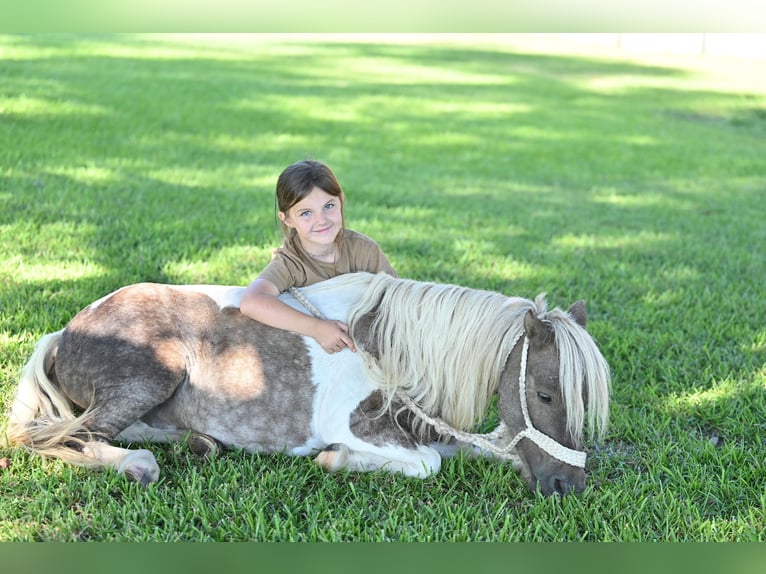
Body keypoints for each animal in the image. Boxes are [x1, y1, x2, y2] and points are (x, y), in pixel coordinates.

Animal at [3, 272, 611, 496]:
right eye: (546, 394)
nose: (568, 487)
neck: (386, 345)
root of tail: (66, 330)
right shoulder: (357, 423)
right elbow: (427, 463)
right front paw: (334, 459)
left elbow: (479, 450)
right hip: (152, 376)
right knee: (60, 437)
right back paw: (137, 465)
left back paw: (198, 442)